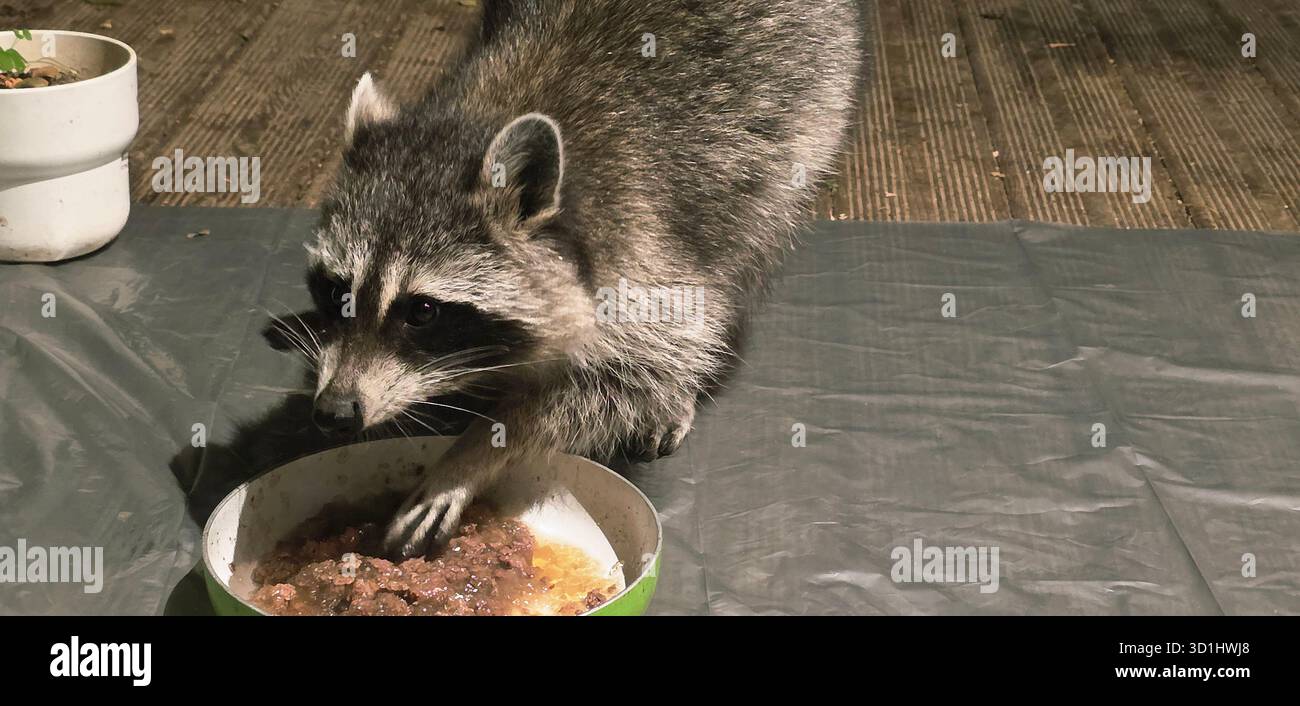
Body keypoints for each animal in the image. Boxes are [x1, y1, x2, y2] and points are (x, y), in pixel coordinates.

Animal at [304, 0, 863, 557]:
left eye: (421, 312)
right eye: (336, 292)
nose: (334, 412)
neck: (479, 116)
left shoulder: (644, 246)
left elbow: (636, 371)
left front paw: (476, 450)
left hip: (808, 103)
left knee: (747, 236)